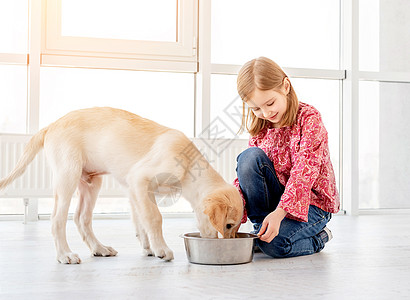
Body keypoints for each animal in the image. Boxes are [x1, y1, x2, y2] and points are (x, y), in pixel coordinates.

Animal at [0, 107, 243, 262]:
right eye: (228, 225)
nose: (225, 243)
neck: (189, 164)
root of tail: (51, 125)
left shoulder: (134, 189)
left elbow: (141, 220)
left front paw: (148, 247)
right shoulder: (139, 179)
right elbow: (154, 217)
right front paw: (161, 249)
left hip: (91, 182)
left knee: (81, 218)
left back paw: (99, 248)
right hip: (67, 175)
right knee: (57, 219)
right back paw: (65, 255)